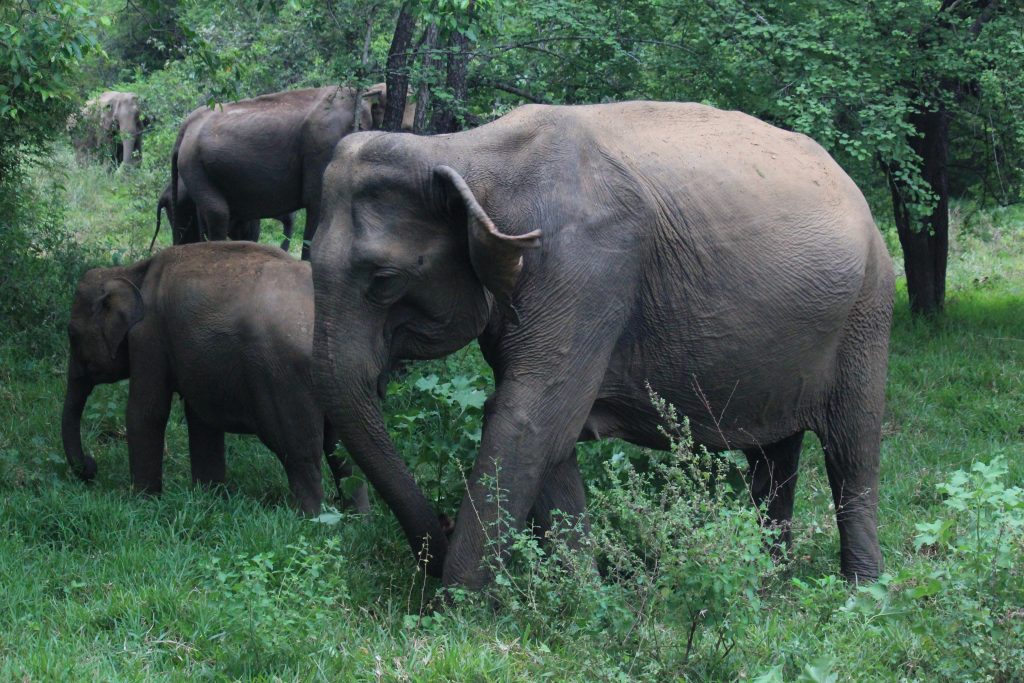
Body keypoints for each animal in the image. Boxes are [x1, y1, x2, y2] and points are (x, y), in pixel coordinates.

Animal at [59, 242, 368, 516]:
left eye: (71, 333)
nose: (91, 467)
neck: (132, 271)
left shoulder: (149, 337)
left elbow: (146, 413)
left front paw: (143, 503)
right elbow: (201, 419)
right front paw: (210, 497)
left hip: (284, 381)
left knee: (300, 453)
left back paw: (313, 522)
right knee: (342, 452)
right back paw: (358, 520)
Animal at [169, 80, 409, 262]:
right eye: (407, 129)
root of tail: (186, 125)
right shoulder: (323, 147)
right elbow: (317, 201)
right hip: (193, 165)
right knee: (218, 214)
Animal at [311, 100, 897, 589]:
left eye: (384, 280)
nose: (443, 525)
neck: (462, 152)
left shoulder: (587, 268)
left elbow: (529, 418)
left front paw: (453, 612)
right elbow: (550, 434)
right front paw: (584, 597)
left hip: (867, 309)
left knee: (852, 447)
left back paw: (860, 590)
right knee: (773, 456)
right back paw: (771, 578)